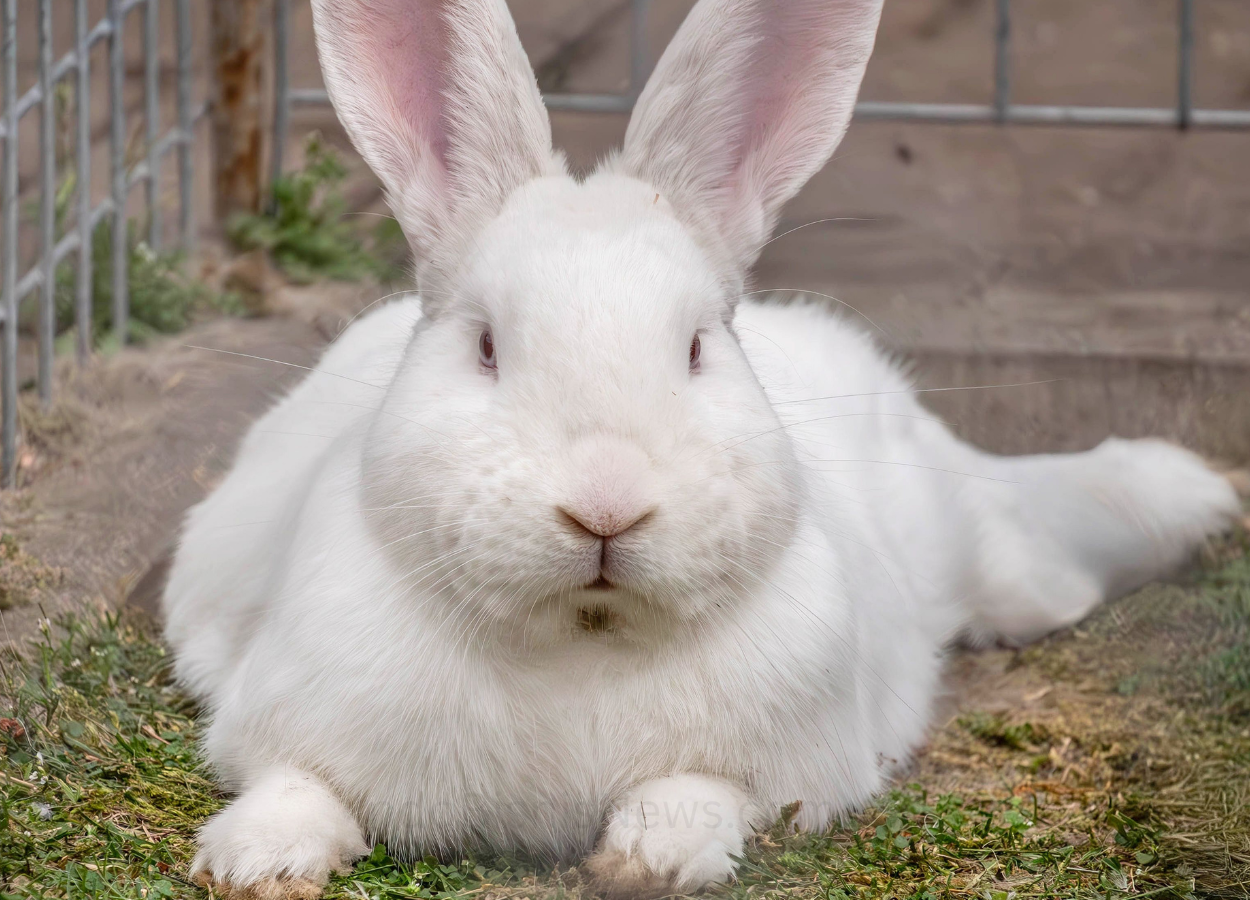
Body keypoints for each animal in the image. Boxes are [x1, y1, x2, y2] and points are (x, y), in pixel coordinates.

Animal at [162, 0, 1242, 897]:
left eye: (695, 347)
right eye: (485, 346)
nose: (605, 505)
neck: (582, 638)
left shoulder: (786, 761)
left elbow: (698, 794)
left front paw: (647, 858)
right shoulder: (283, 715)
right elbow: (295, 787)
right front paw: (253, 863)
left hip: (992, 557)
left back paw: (1188, 497)